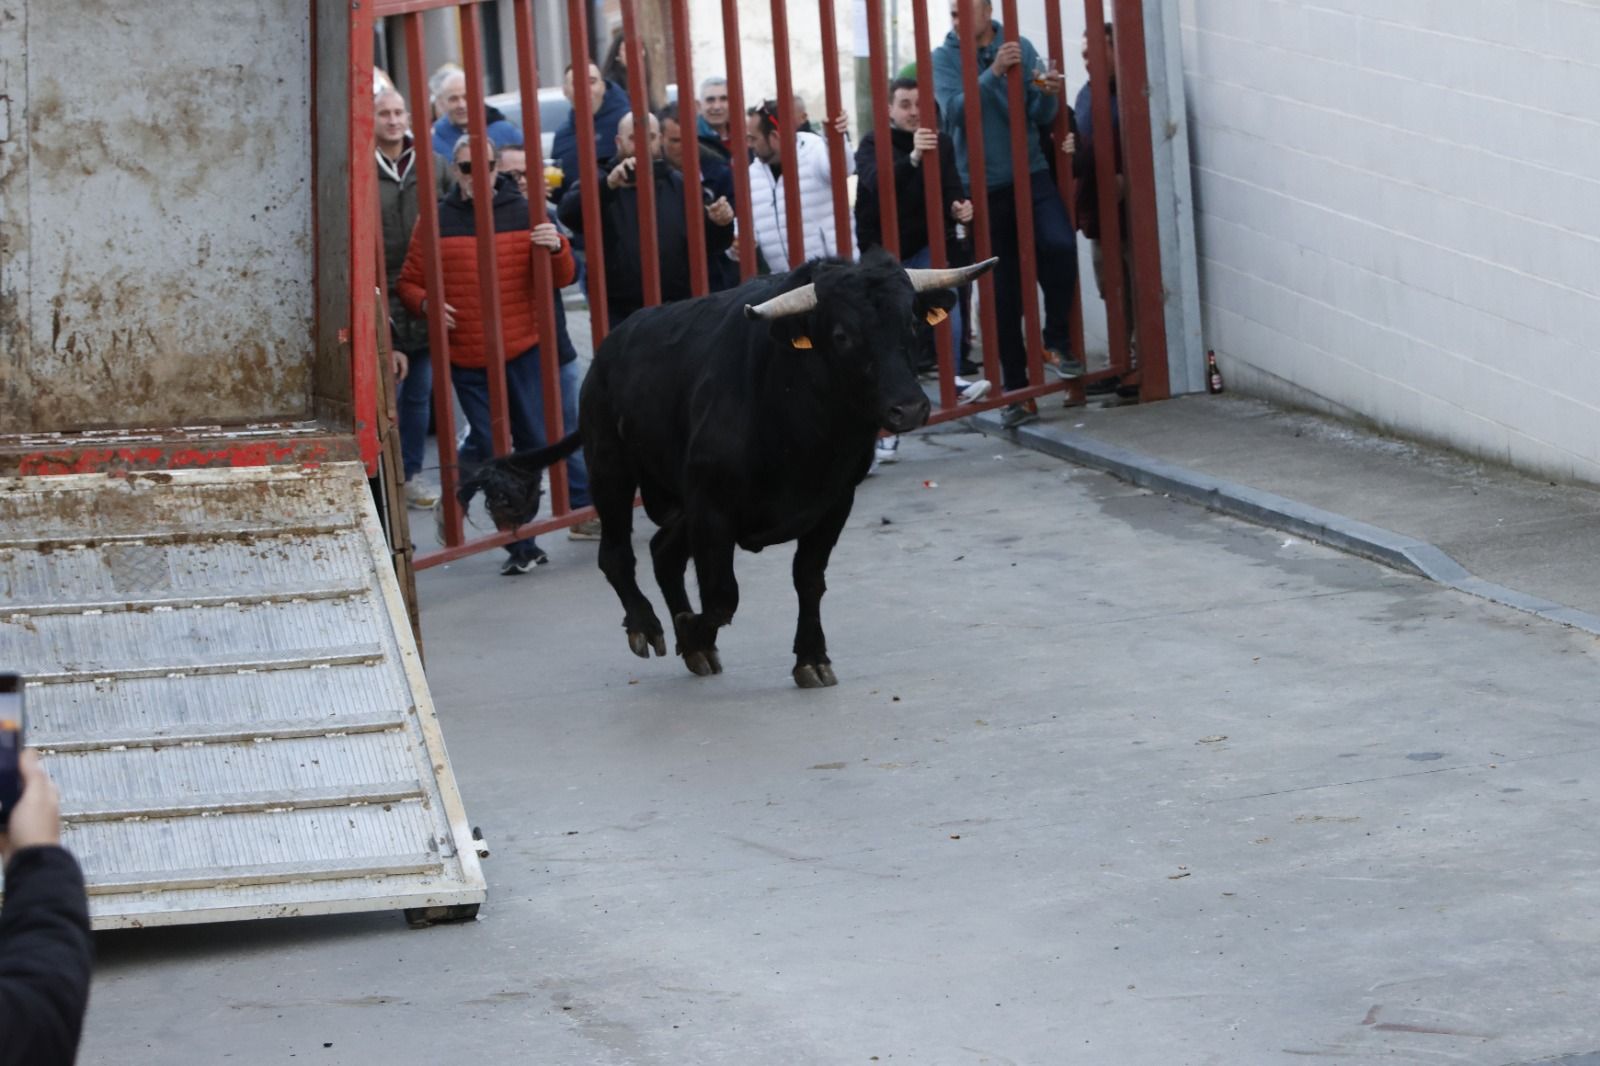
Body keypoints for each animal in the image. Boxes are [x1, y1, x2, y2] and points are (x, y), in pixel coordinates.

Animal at [457, 248, 992, 685]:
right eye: (842, 335)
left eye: (913, 326)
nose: (910, 409)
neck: (803, 426)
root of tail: (609, 349)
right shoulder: (711, 508)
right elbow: (722, 596)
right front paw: (692, 630)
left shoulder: (833, 503)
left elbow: (808, 579)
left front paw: (811, 658)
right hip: (610, 467)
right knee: (618, 554)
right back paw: (649, 626)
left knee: (662, 551)